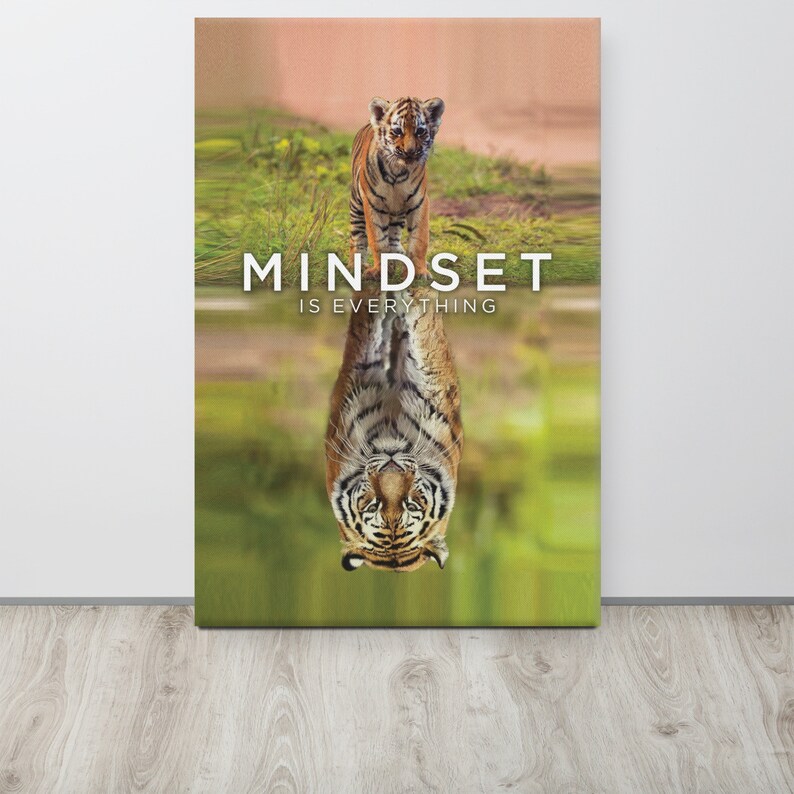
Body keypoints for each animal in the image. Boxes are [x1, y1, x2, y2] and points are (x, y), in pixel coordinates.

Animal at [349, 96, 445, 280]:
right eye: (397, 131)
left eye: (420, 131)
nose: (410, 151)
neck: (397, 171)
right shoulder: (373, 203)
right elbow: (378, 240)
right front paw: (379, 271)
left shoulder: (419, 202)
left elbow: (419, 240)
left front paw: (420, 272)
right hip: (356, 205)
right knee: (357, 237)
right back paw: (355, 266)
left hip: (397, 212)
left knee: (393, 238)